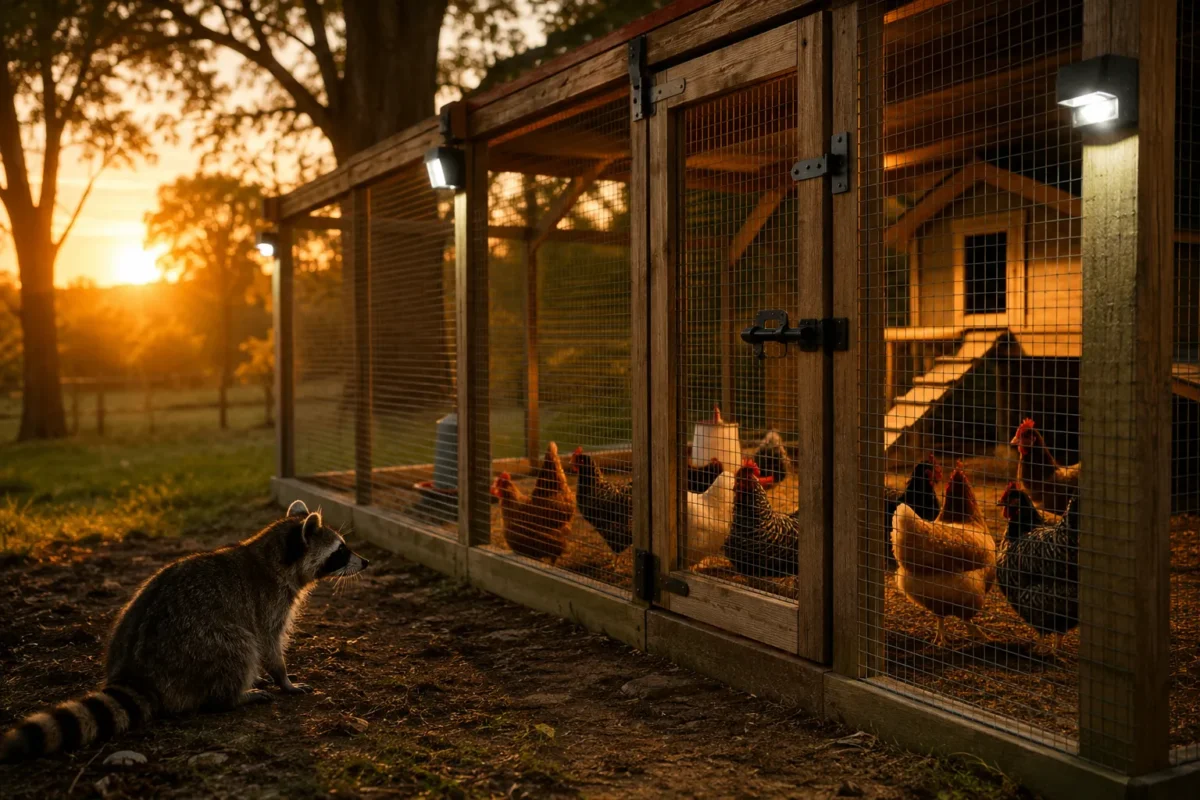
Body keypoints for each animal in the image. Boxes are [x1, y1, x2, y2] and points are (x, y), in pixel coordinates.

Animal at [0, 500, 368, 763]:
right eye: (340, 550)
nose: (365, 562)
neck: (272, 554)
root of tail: (138, 671)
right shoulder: (269, 603)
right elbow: (268, 644)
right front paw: (284, 678)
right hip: (201, 646)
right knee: (239, 647)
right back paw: (232, 697)